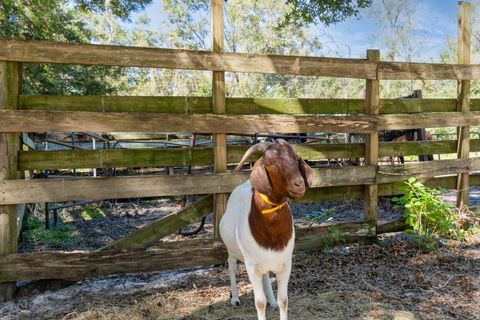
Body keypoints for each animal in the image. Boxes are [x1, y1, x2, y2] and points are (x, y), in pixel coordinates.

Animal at [219, 140, 314, 320]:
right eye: (272, 163)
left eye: (295, 159)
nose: (299, 184)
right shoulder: (251, 266)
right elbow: (259, 303)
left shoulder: (285, 263)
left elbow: (284, 300)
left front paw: (276, 302)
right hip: (232, 250)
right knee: (231, 266)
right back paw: (234, 298)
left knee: (266, 277)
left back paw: (272, 301)